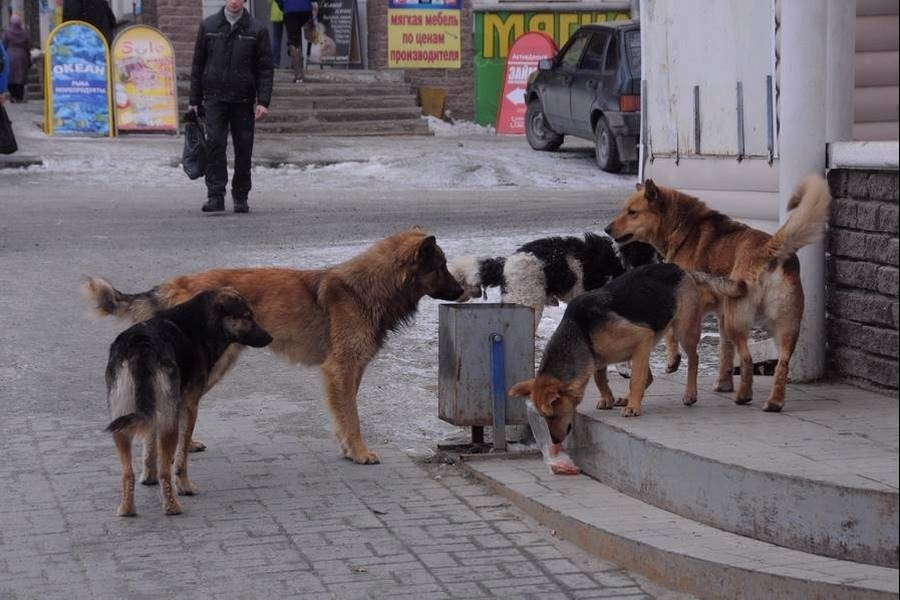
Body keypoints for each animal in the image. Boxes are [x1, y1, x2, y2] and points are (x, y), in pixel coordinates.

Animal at [84, 227, 464, 466]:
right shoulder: (341, 370)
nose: (463, 291)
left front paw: (347, 448)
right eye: (442, 266)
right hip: (210, 367)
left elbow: (345, 414)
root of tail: (178, 283)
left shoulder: (350, 372)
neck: (365, 289)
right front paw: (359, 451)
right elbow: (352, 416)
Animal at [103, 288, 270, 516]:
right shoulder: (188, 406)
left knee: (127, 472)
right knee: (166, 471)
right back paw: (172, 506)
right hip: (169, 420)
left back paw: (127, 509)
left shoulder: (154, 411)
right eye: (247, 316)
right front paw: (184, 486)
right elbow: (181, 457)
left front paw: (148, 476)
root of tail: (141, 345)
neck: (200, 322)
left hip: (121, 418)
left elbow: (149, 444)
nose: (270, 338)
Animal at [510, 262, 748, 440]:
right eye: (543, 418)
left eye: (552, 415)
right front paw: (609, 398)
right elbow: (601, 378)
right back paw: (627, 397)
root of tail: (680, 269)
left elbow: (634, 380)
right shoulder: (599, 356)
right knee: (648, 375)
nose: (556, 442)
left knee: (693, 359)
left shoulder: (642, 337)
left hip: (683, 330)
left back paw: (689, 394)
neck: (580, 331)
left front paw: (633, 407)